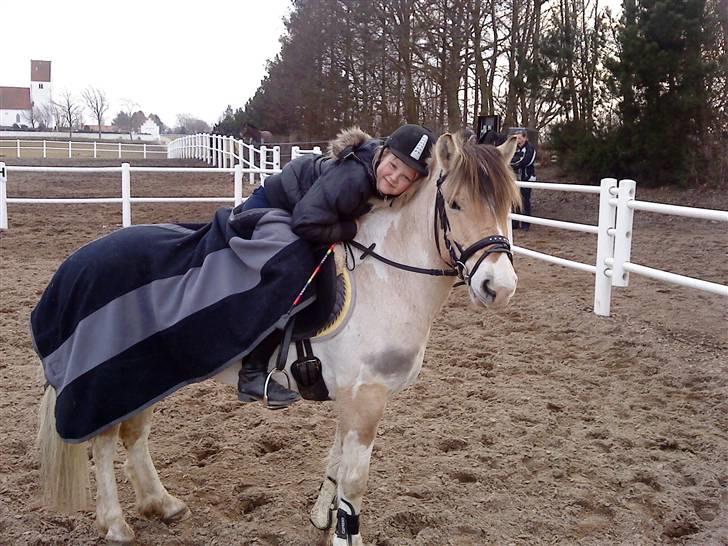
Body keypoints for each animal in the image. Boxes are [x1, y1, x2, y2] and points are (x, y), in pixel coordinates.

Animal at [36, 132, 521, 545]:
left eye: (508, 205)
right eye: (454, 204)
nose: (498, 287)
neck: (386, 278)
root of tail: (78, 264)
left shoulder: (350, 397)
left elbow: (336, 463)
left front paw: (323, 519)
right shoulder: (366, 397)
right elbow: (355, 481)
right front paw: (345, 533)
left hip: (150, 373)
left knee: (134, 433)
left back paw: (162, 504)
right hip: (115, 380)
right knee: (103, 441)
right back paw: (116, 524)